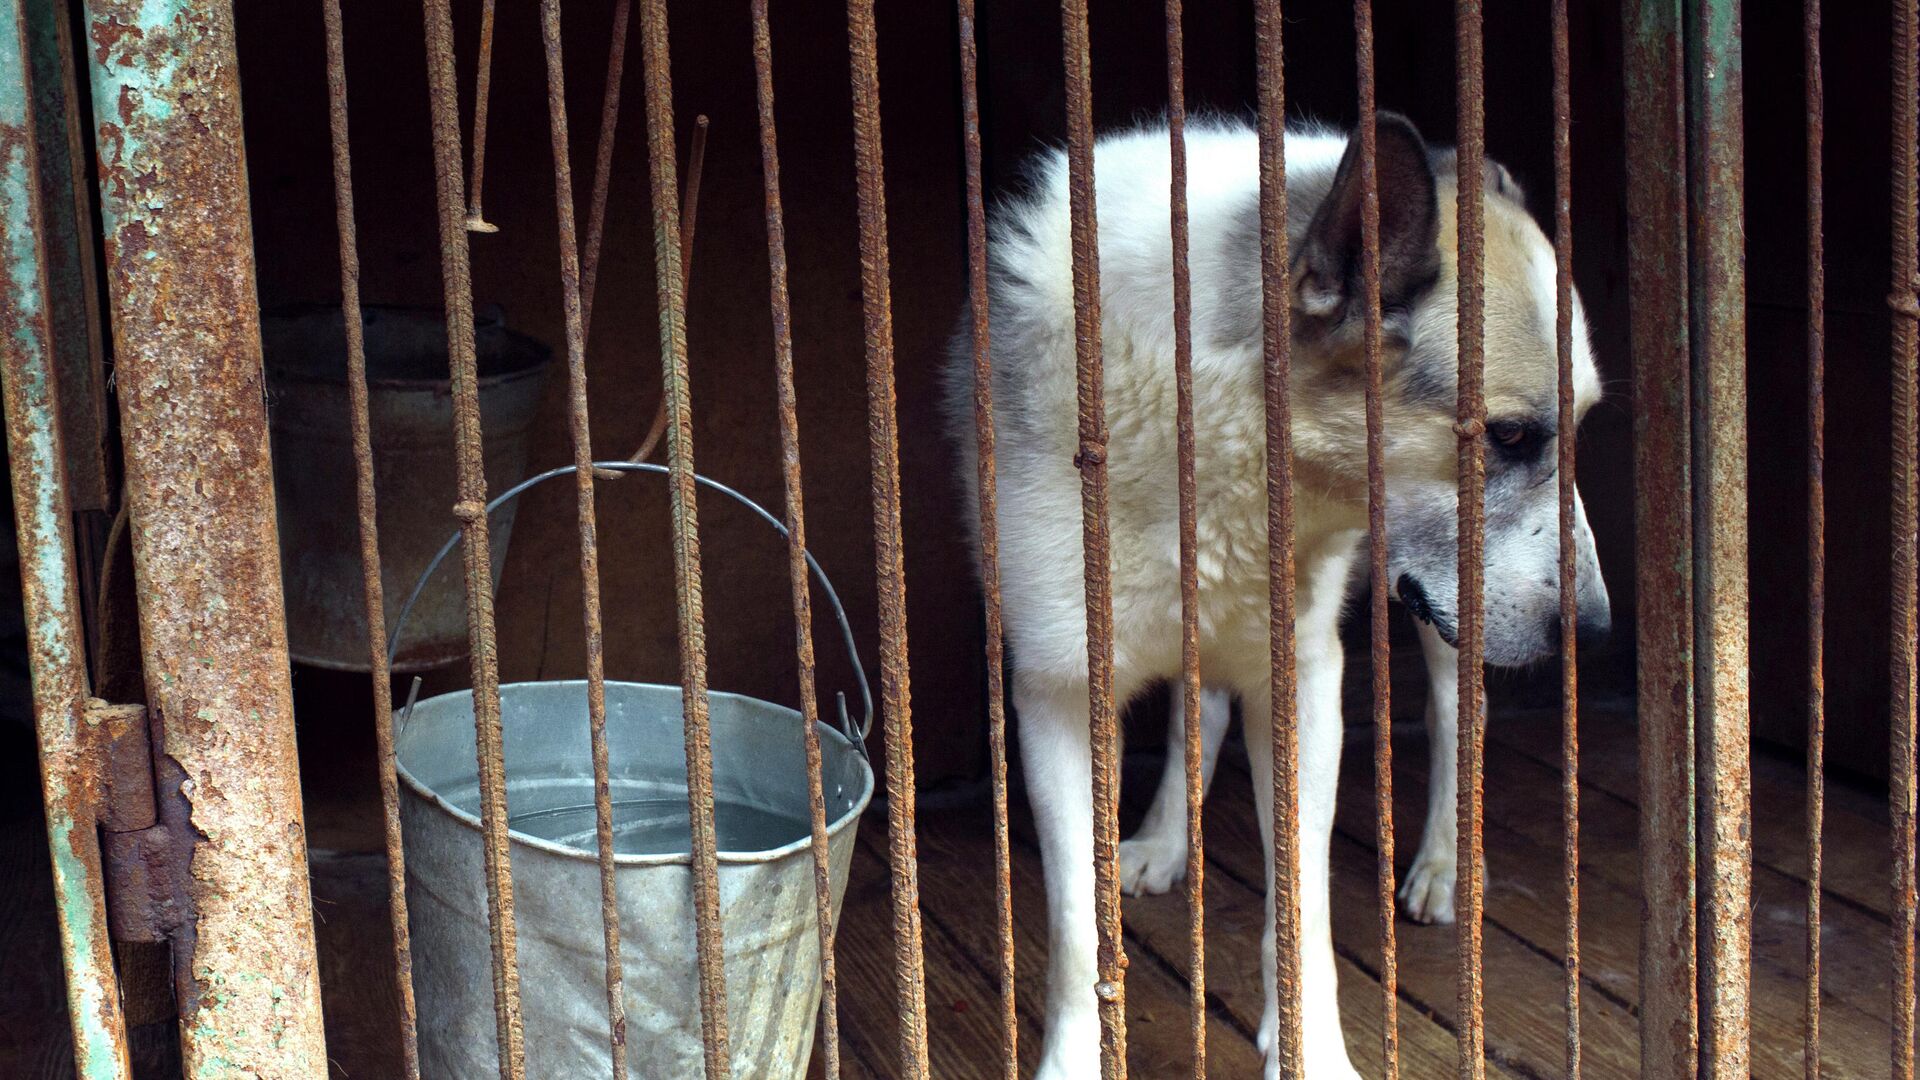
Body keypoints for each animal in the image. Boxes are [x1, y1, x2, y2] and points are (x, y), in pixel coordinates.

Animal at [944, 113, 1605, 1068]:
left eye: (1579, 428)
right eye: (1511, 436)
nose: (1598, 629)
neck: (1210, 416)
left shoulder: (1304, 681)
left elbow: (1299, 901)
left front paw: (1314, 1054)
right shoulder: (1057, 691)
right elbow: (1076, 930)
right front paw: (1072, 1060)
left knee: (1456, 709)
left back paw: (1447, 861)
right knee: (1202, 711)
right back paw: (1162, 839)